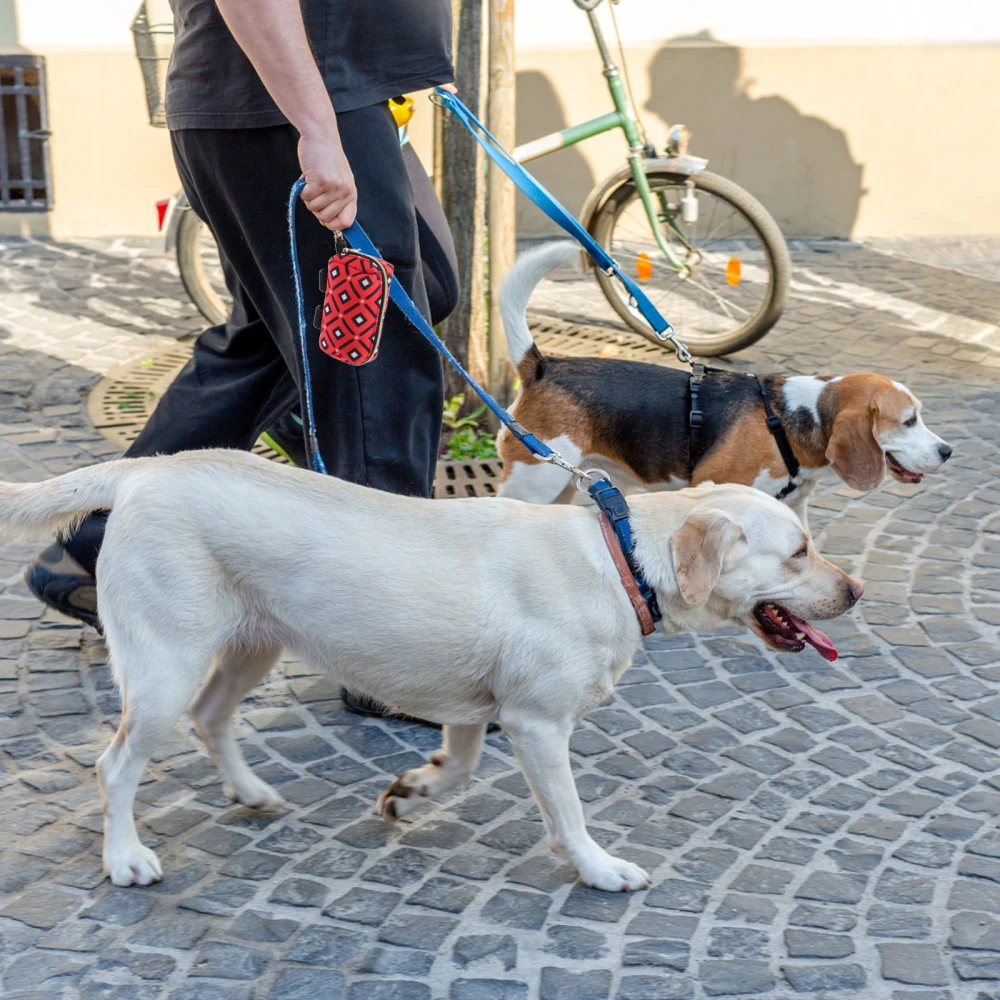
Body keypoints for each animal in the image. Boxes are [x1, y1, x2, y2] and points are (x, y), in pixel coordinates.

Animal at [0, 452, 860, 892]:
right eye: (800, 550)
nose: (857, 590)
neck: (622, 562)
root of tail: (146, 470)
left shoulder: (478, 709)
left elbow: (462, 765)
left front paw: (411, 792)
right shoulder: (537, 724)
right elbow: (569, 813)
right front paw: (598, 868)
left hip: (254, 643)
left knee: (211, 718)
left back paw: (251, 793)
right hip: (165, 665)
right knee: (116, 765)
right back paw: (124, 858)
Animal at [500, 243, 952, 528]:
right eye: (909, 421)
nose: (948, 452)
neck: (789, 422)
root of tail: (542, 365)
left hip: (560, 484)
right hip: (533, 482)